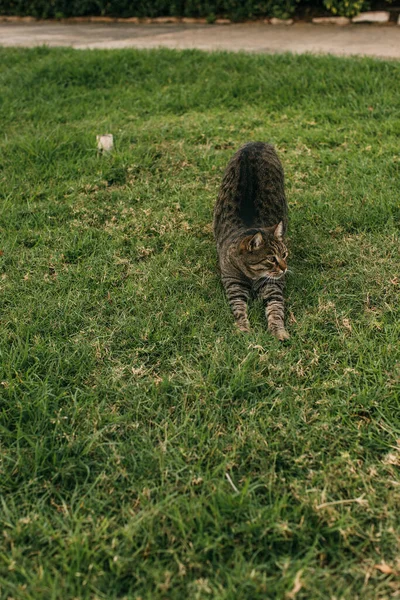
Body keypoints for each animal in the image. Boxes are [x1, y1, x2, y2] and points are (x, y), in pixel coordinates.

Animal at [214, 138, 290, 340]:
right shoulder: (233, 283)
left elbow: (275, 308)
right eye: (271, 259)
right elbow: (239, 308)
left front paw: (278, 330)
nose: (285, 268)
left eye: (284, 255)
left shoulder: (273, 285)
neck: (251, 276)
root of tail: (256, 142)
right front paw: (243, 328)